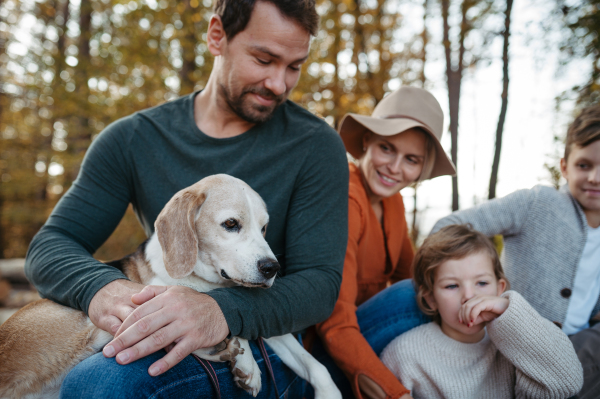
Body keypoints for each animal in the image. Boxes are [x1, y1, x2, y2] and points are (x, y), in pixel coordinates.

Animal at [0, 175, 342, 399]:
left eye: (265, 228)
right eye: (231, 224)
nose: (272, 268)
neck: (209, 280)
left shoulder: (265, 323)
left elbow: (315, 366)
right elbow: (212, 312)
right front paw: (247, 364)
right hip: (90, 326)